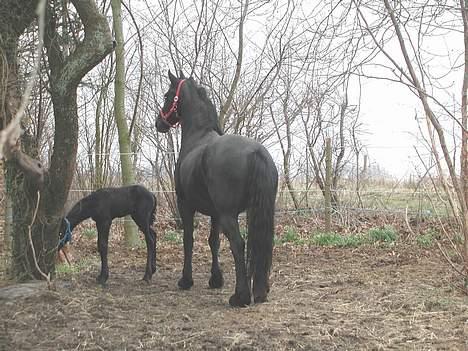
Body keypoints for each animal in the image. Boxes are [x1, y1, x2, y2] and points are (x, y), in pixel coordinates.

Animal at [155, 70, 278, 306]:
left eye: (167, 95)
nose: (159, 123)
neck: (198, 136)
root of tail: (256, 152)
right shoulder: (215, 213)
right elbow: (214, 241)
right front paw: (216, 279)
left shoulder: (185, 205)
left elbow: (189, 240)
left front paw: (186, 280)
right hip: (256, 212)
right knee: (259, 244)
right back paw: (260, 292)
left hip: (229, 214)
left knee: (238, 244)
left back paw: (240, 297)